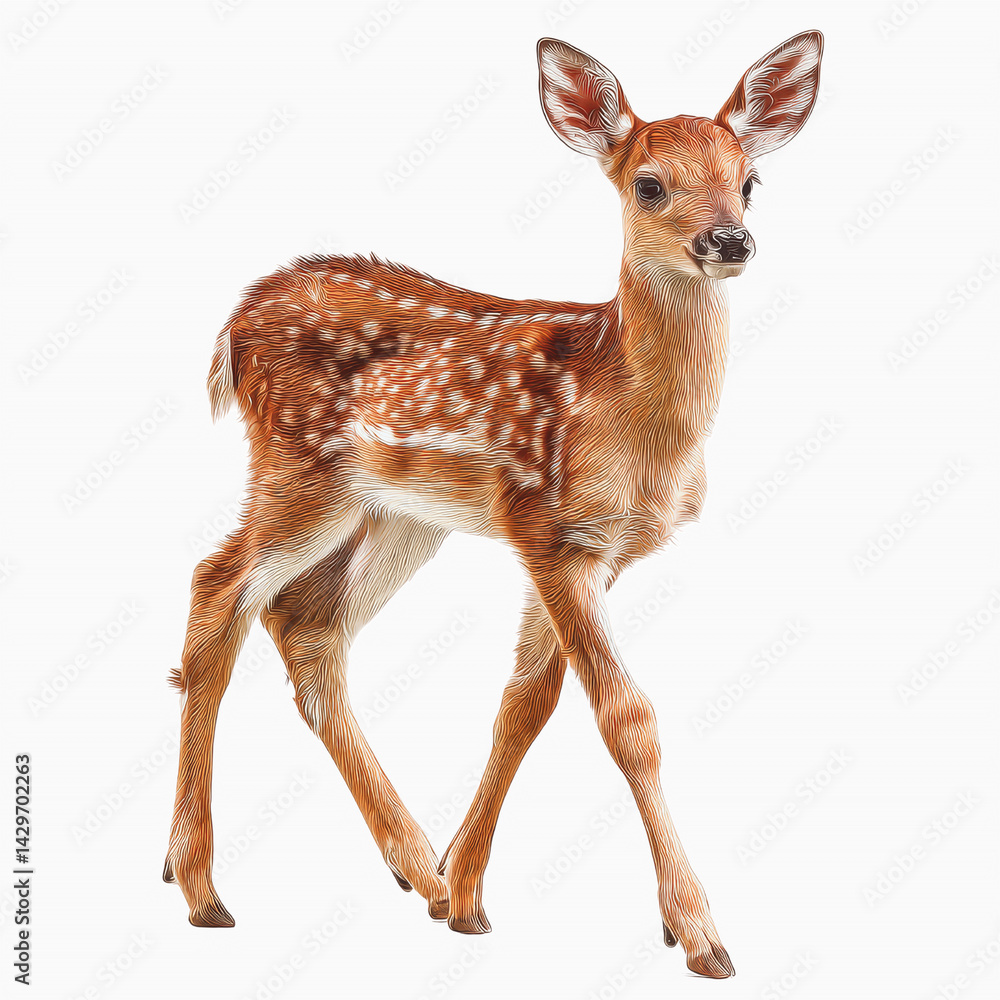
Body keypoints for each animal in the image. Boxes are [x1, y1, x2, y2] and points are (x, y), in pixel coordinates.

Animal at [162, 31, 823, 978]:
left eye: (751, 178)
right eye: (649, 183)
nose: (728, 239)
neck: (627, 408)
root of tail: (236, 321)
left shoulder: (593, 550)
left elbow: (524, 703)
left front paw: (466, 895)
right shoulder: (548, 526)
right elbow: (626, 717)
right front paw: (700, 934)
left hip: (398, 512)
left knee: (306, 624)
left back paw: (415, 870)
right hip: (299, 467)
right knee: (218, 588)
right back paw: (202, 887)